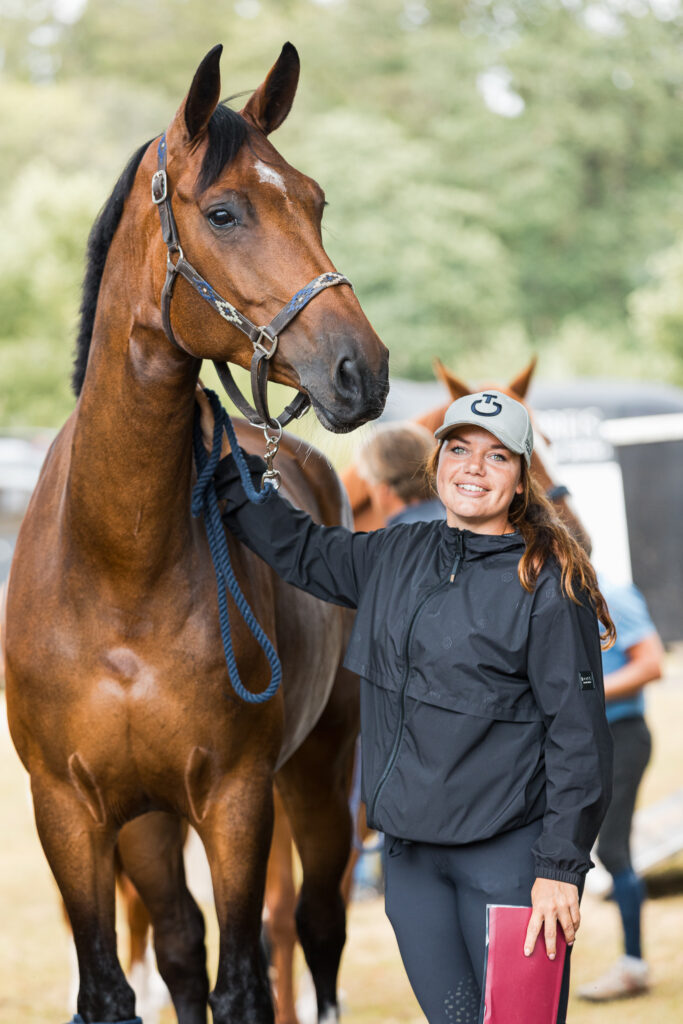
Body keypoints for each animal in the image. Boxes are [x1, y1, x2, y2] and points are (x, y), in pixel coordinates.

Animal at [3, 42, 388, 1024]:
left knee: (317, 928)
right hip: (150, 822)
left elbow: (245, 980)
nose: (361, 371)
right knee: (179, 948)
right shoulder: (75, 812)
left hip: (320, 775)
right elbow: (120, 981)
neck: (117, 568)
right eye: (222, 211)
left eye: (314, 201)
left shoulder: (236, 802)